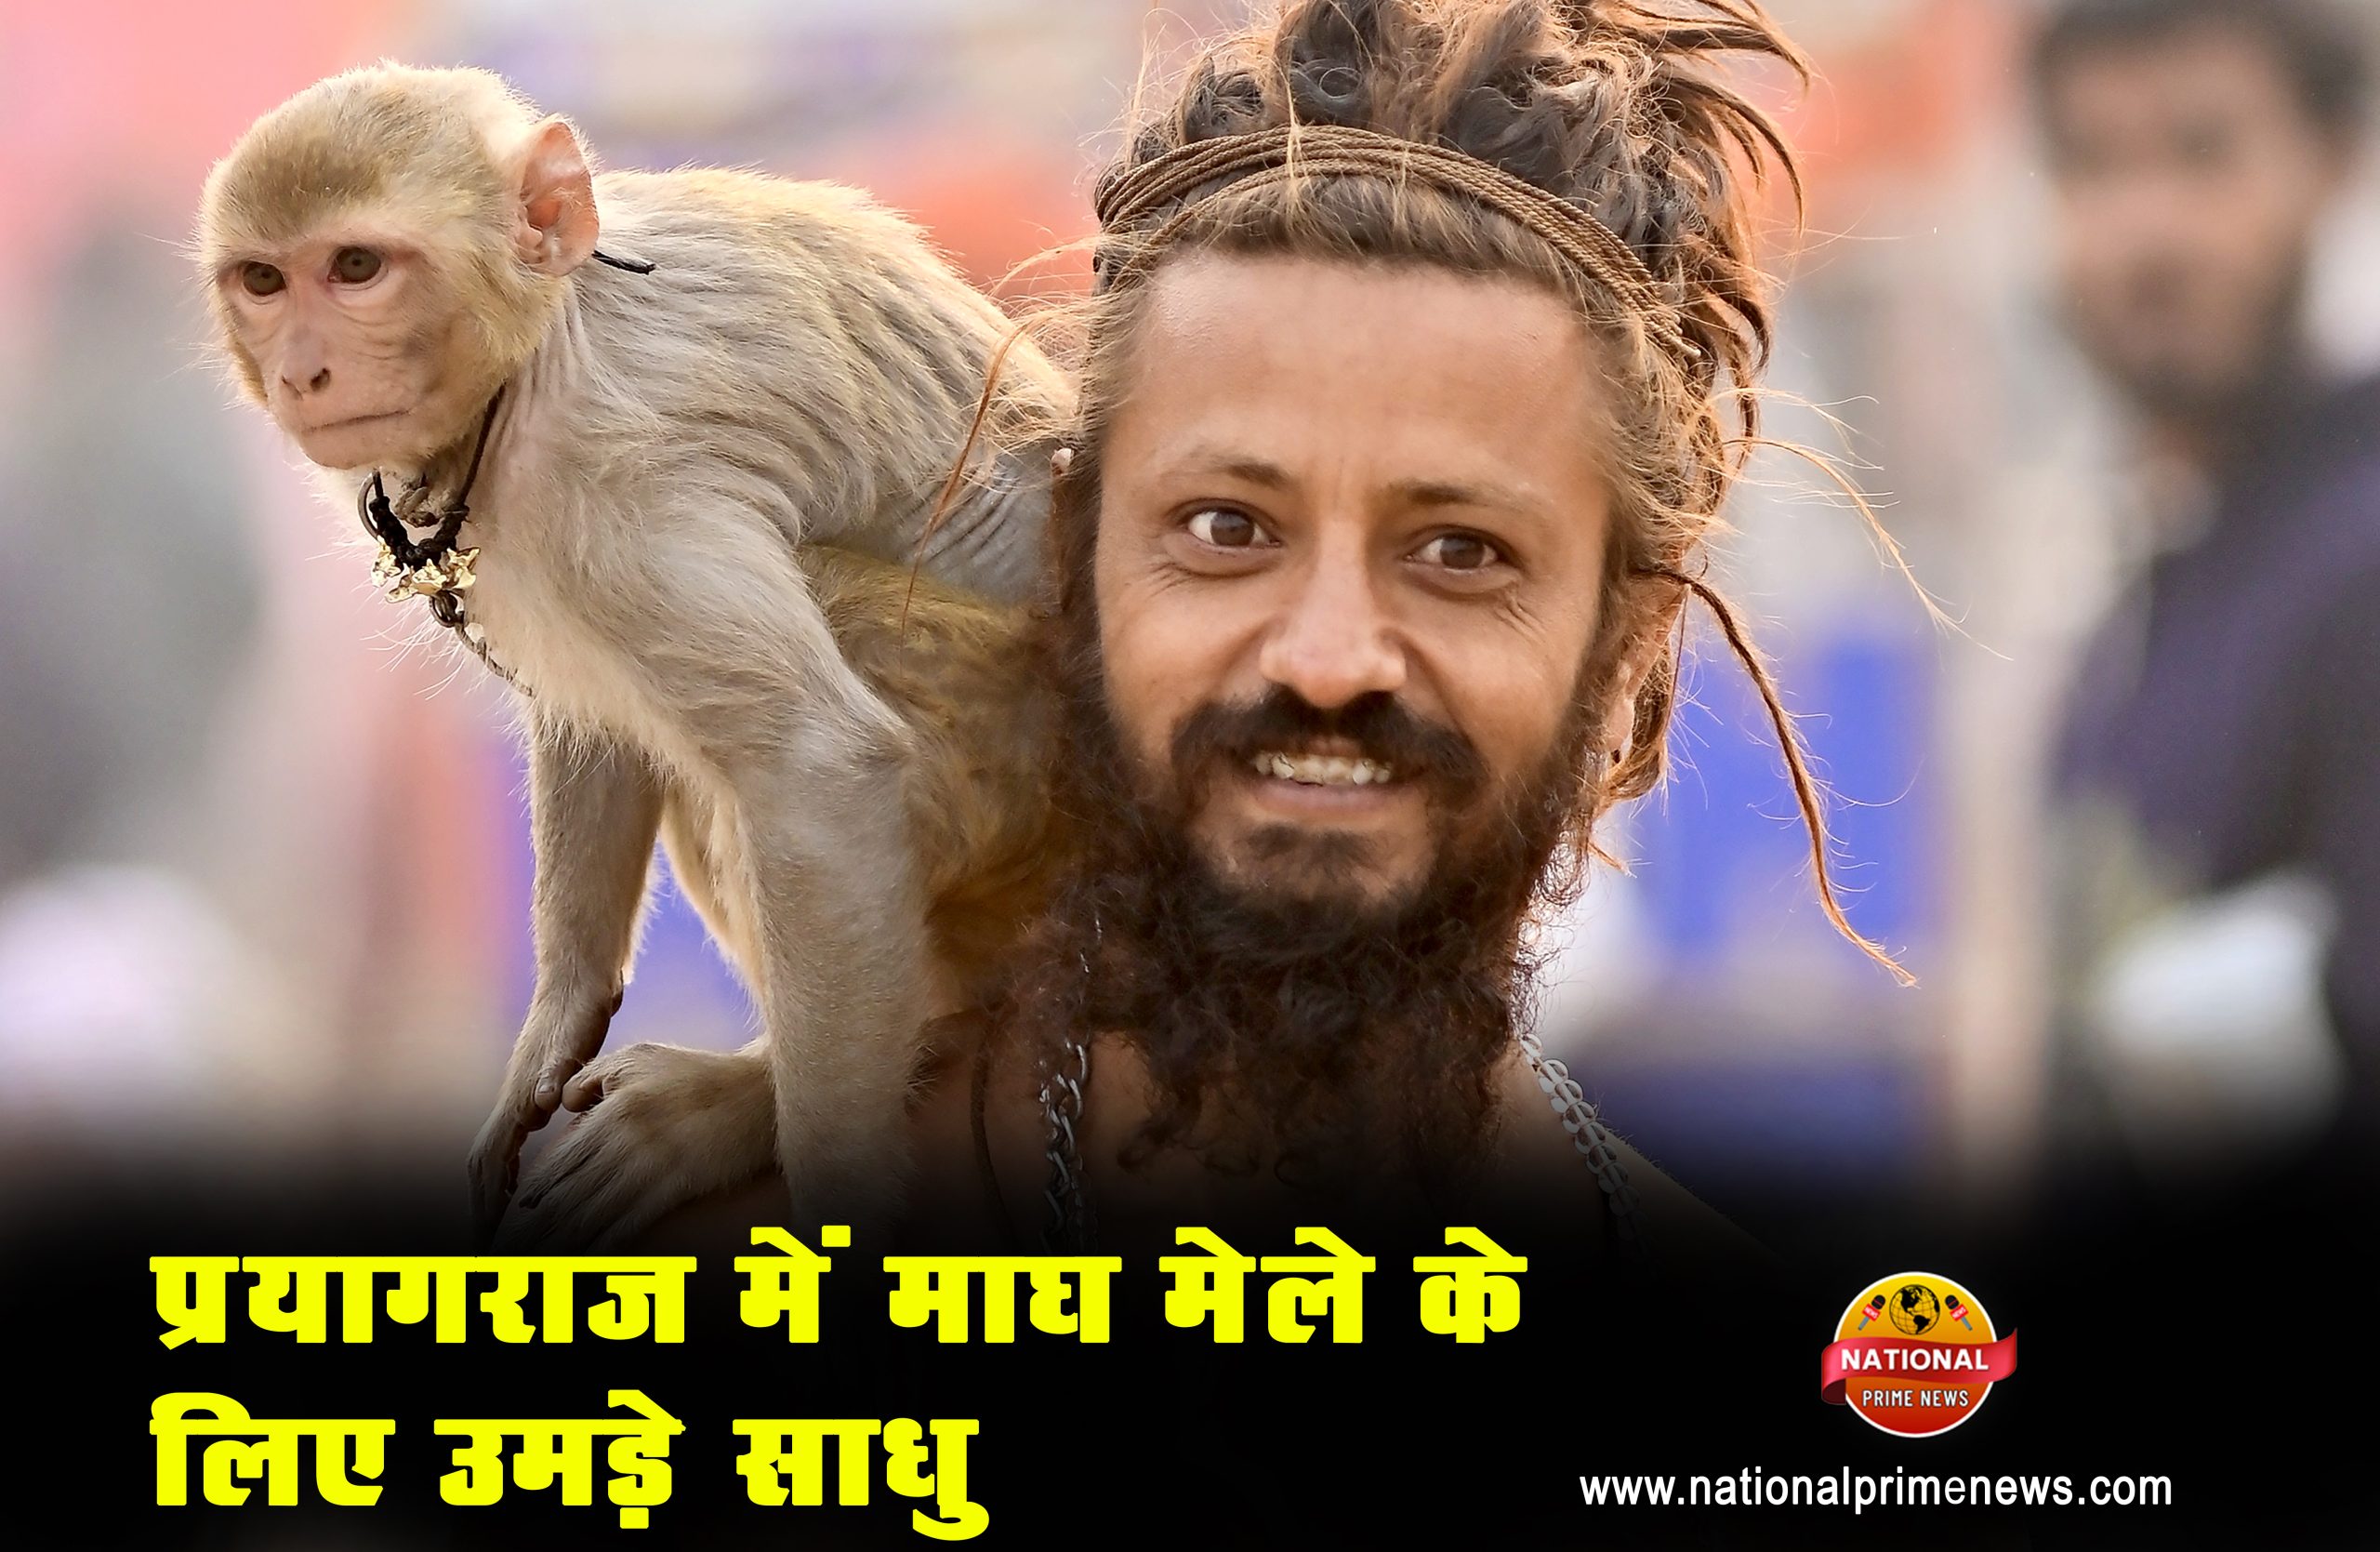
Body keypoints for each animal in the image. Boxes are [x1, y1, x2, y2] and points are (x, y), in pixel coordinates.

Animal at [197, 63, 1072, 1242]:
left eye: (357, 267)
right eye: (262, 279)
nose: (302, 371)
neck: (548, 336)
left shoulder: (615, 476)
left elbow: (816, 768)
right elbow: (595, 719)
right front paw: (555, 1026)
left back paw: (760, 1094)